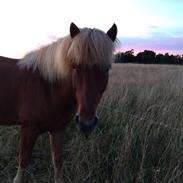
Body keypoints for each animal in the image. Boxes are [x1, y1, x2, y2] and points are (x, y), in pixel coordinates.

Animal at [0, 22, 117, 183]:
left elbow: (57, 161)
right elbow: (23, 162)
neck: (46, 86)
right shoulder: (28, 129)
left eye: (107, 68)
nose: (86, 123)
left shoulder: (58, 130)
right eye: (75, 66)